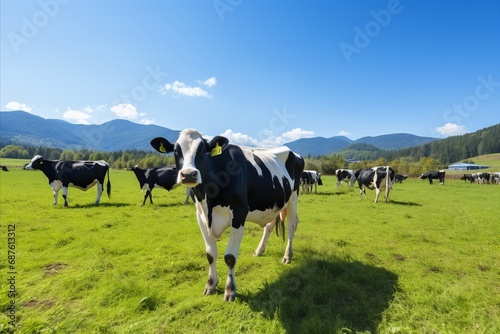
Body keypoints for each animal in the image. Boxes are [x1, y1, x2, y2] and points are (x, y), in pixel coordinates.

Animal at [149, 129, 304, 302]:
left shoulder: (238, 214)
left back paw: (287, 256)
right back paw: (259, 250)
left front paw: (230, 290)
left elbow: (230, 257)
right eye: (176, 151)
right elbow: (210, 254)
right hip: (272, 204)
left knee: (291, 226)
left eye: (202, 150)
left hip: (294, 197)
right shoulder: (200, 216)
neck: (209, 197)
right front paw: (210, 285)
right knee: (269, 225)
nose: (188, 174)